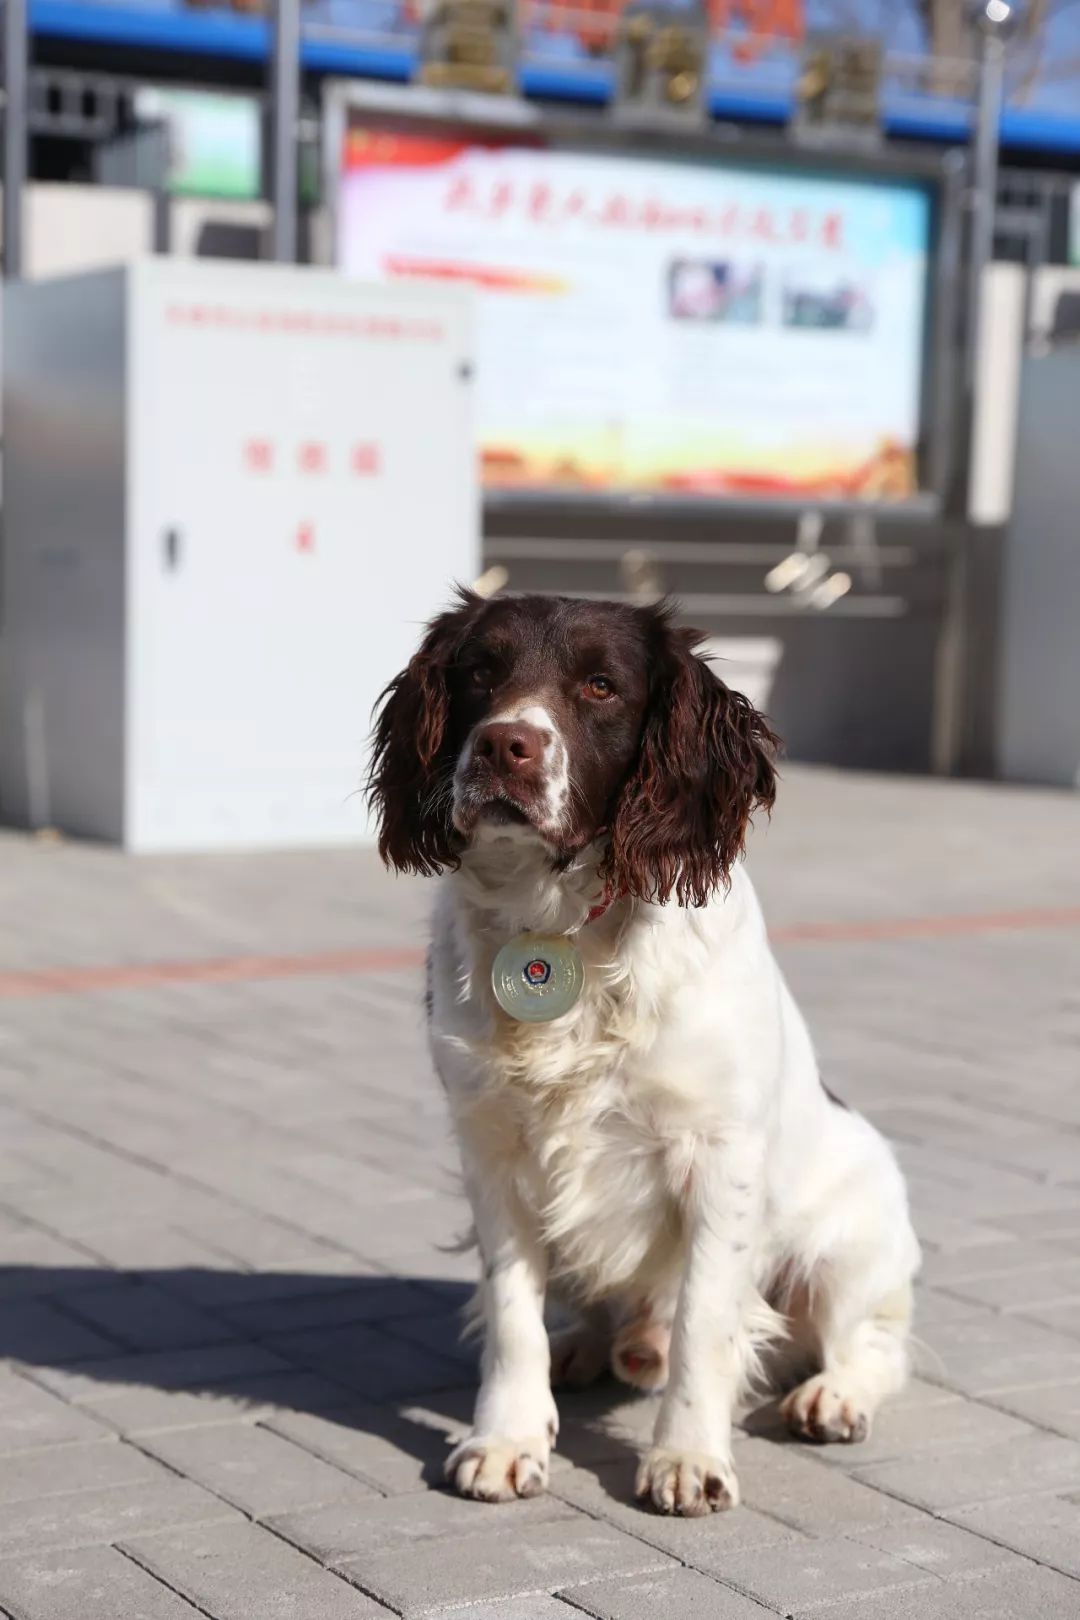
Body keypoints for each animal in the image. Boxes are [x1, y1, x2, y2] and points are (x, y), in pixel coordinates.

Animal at [372, 592, 919, 1516]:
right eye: (480, 671)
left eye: (601, 685)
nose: (504, 745)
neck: (559, 922)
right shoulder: (492, 1152)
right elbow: (510, 1313)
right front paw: (508, 1438)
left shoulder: (718, 1158)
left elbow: (705, 1322)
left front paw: (687, 1458)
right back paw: (589, 1348)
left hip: (848, 1248)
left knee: (869, 1345)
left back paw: (831, 1396)